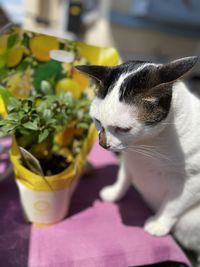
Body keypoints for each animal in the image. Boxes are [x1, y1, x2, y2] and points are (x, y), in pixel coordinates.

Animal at [75, 56, 200, 266]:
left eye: (123, 129)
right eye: (97, 121)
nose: (103, 145)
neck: (149, 146)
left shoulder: (194, 180)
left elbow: (175, 203)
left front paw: (159, 223)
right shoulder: (129, 159)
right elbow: (123, 177)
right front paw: (114, 193)